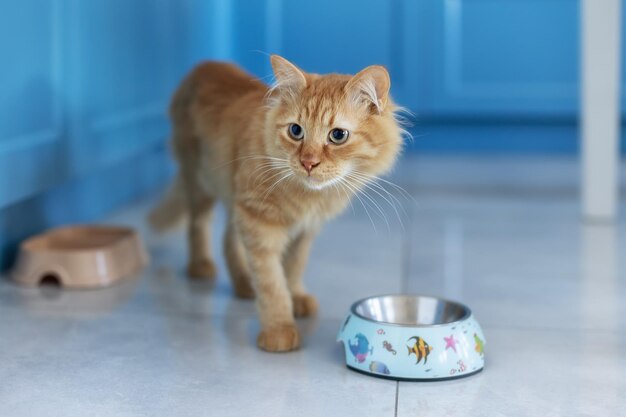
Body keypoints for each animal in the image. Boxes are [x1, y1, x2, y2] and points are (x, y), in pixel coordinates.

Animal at [152, 55, 404, 352]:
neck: (309, 197)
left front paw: (296, 298)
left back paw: (243, 283)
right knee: (198, 224)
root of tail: (205, 65)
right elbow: (272, 282)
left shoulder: (303, 230)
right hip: (200, 181)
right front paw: (279, 330)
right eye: (296, 131)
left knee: (227, 240)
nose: (308, 163)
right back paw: (201, 266)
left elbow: (292, 268)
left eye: (338, 135)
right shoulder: (258, 222)